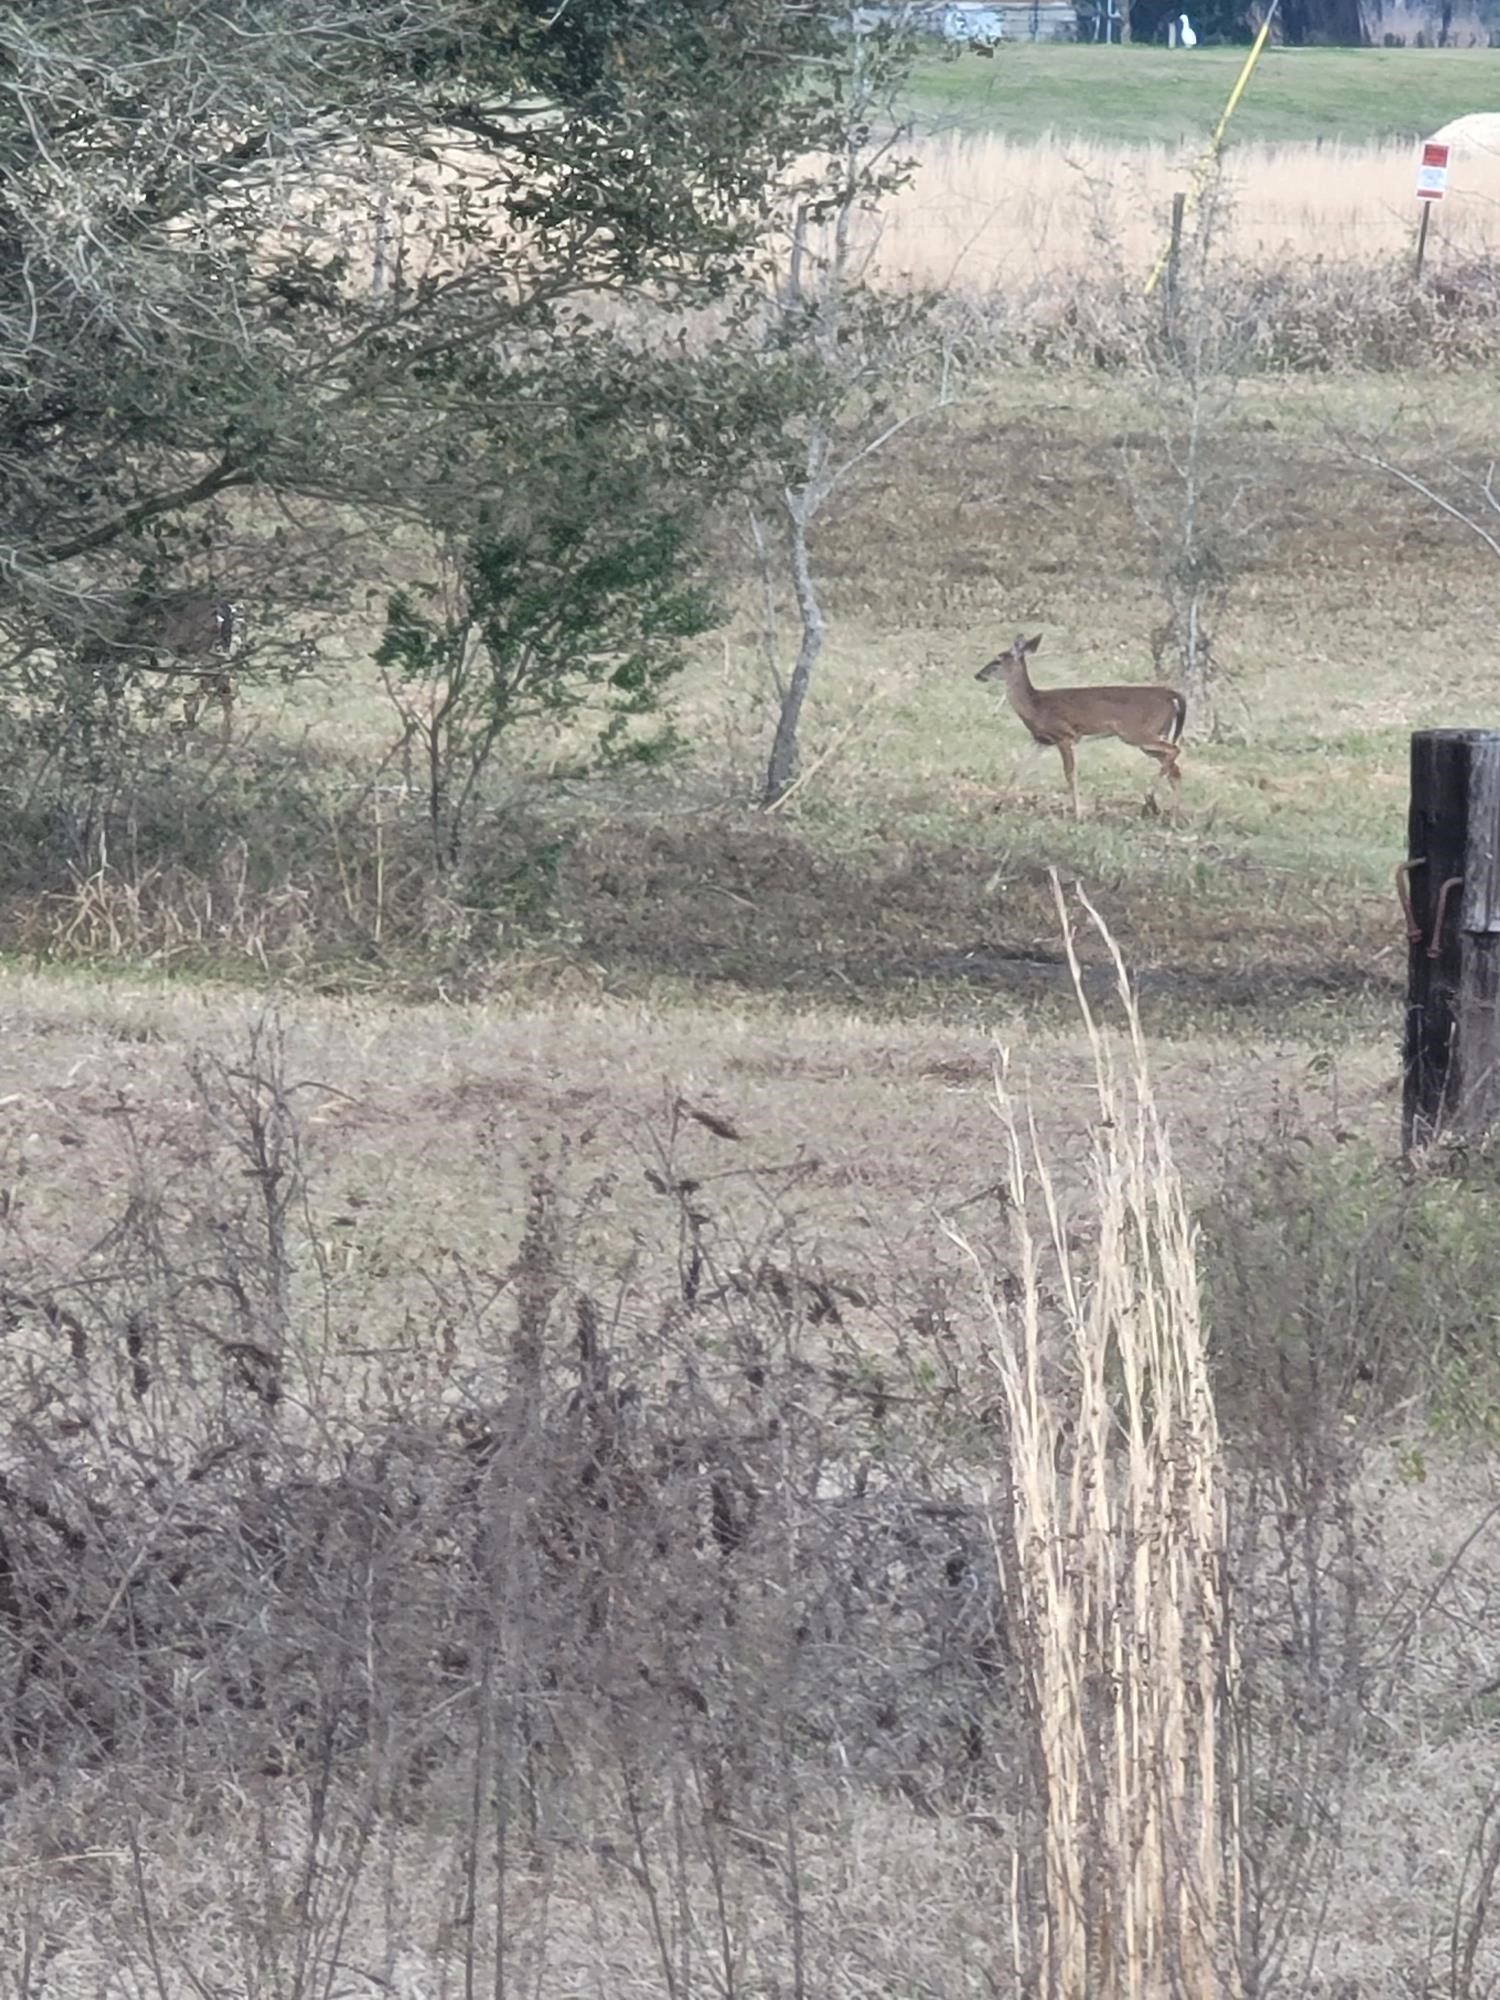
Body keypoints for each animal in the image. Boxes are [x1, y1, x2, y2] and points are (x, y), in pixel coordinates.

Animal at [980, 624, 1192, 812]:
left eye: (997, 661)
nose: (978, 675)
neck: (1036, 705)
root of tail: (1171, 695)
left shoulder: (1064, 735)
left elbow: (1069, 775)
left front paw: (1077, 814)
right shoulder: (1041, 739)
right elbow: (1018, 770)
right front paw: (995, 806)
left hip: (1138, 732)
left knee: (1175, 751)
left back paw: (1149, 801)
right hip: (1156, 734)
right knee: (1175, 771)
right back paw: (1170, 817)